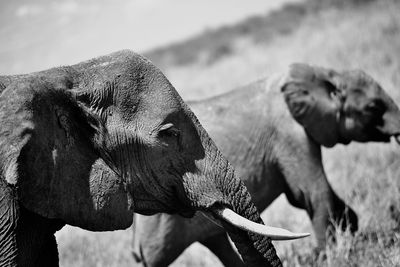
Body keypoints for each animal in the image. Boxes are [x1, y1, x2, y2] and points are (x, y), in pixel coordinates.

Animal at [130, 63, 400, 266]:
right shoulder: (290, 134)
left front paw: (352, 229)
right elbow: (312, 192)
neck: (321, 73)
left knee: (219, 241)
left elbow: (301, 196)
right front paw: (328, 257)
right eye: (373, 107)